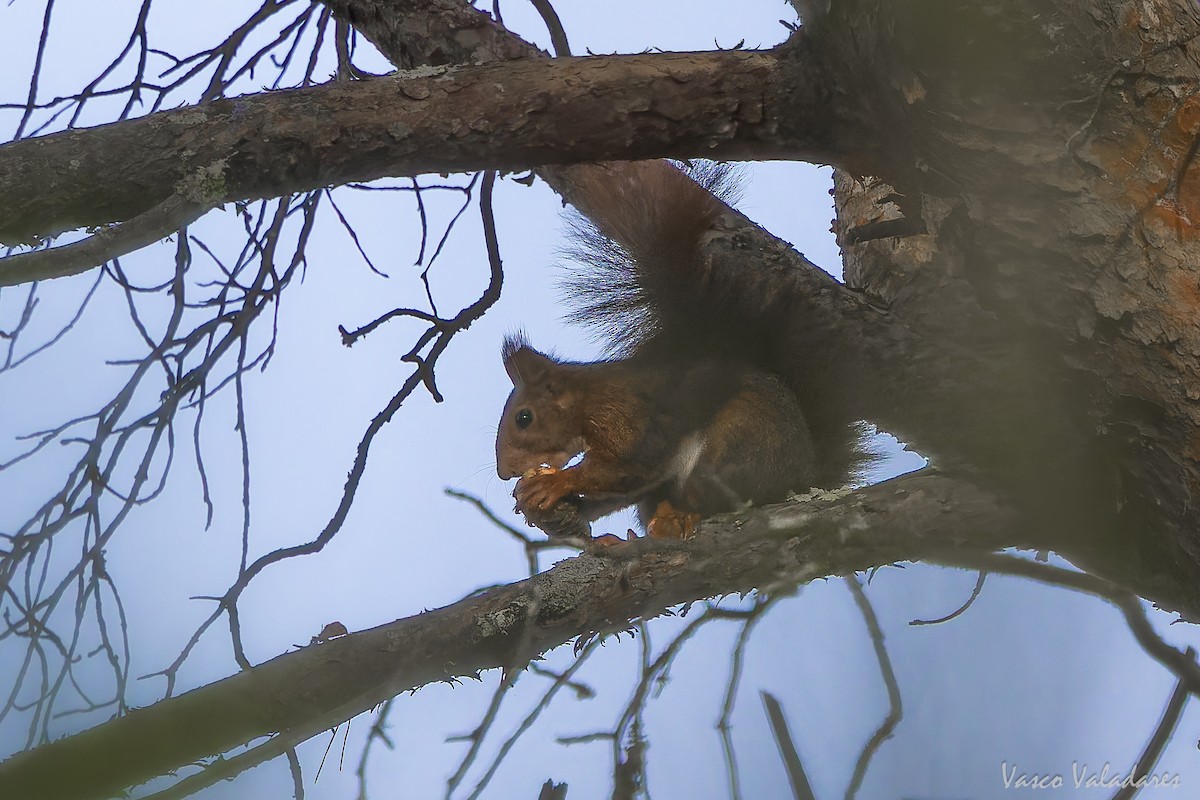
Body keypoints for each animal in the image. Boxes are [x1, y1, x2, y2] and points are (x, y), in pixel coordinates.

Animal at [495, 161, 867, 541]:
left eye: (523, 418)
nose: (505, 472)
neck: (587, 398)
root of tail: (803, 479)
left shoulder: (627, 417)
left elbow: (626, 467)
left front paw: (554, 484)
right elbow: (620, 490)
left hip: (737, 441)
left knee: (712, 494)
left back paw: (678, 518)